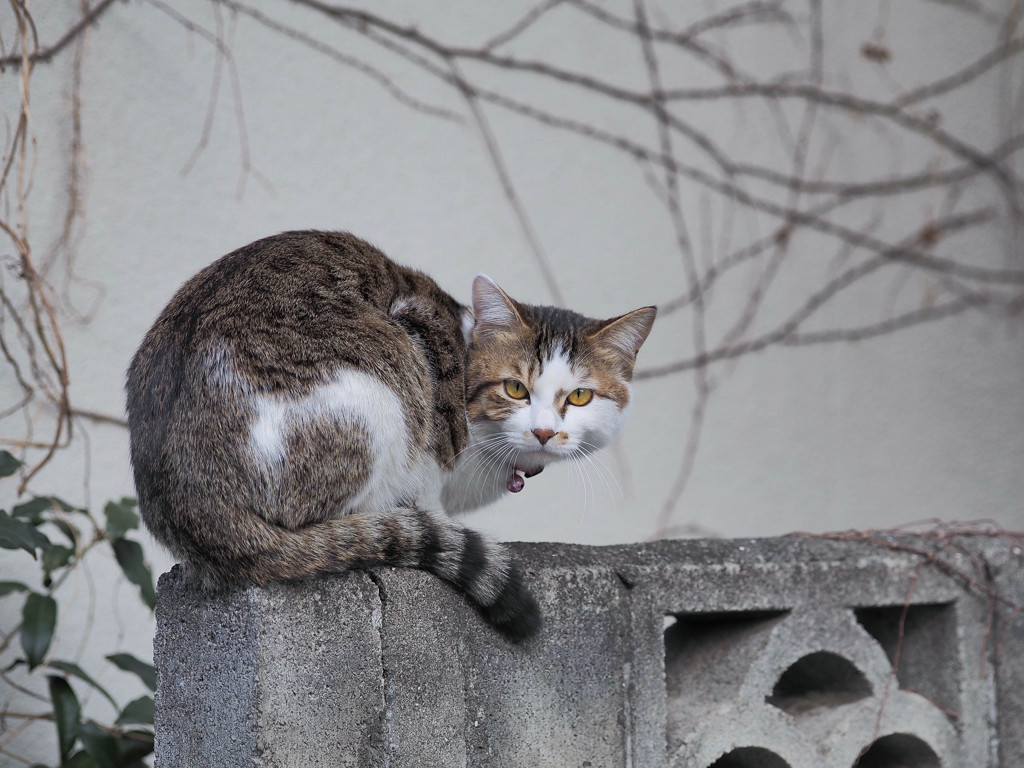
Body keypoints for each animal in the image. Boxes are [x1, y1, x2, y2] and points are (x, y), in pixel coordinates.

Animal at [125, 230, 655, 643]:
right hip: (376, 388)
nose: (543, 431)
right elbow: (429, 481)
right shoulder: (419, 330)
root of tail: (196, 506)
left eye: (580, 397)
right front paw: (435, 521)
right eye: (515, 389)